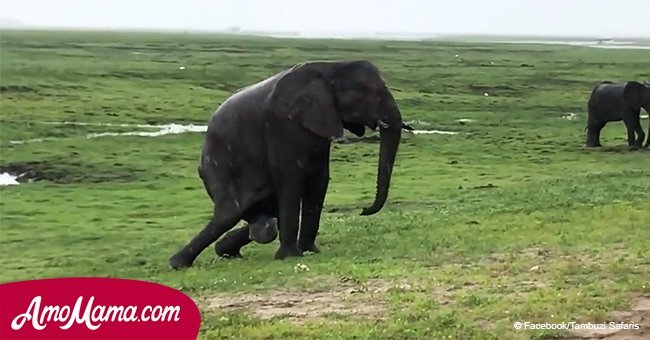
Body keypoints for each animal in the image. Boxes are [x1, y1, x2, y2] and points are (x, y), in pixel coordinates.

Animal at [170, 59, 408, 270]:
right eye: (368, 93)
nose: (364, 210)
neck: (332, 67)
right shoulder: (281, 124)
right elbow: (291, 178)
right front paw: (290, 256)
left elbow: (319, 181)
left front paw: (310, 251)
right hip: (217, 166)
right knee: (229, 213)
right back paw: (178, 263)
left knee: (265, 217)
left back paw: (229, 248)